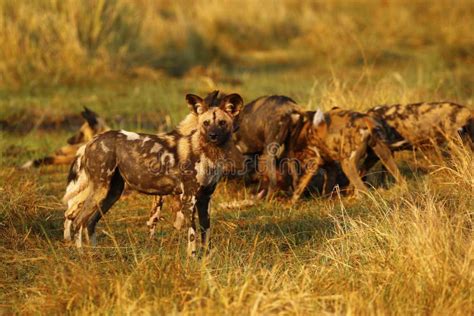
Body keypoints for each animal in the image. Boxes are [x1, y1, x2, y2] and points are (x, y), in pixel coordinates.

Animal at [62, 90, 244, 256]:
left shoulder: (205, 198)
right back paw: (83, 256)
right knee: (77, 221)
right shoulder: (188, 198)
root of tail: (91, 141)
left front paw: (205, 260)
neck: (208, 151)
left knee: (90, 222)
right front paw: (192, 259)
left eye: (221, 122)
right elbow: (192, 235)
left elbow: (205, 232)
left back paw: (95, 254)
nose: (212, 136)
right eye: (206, 123)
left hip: (111, 194)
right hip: (99, 190)